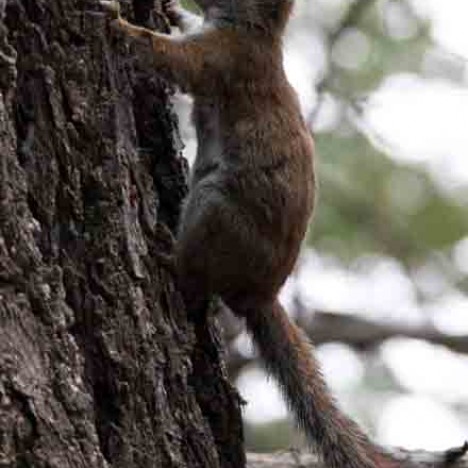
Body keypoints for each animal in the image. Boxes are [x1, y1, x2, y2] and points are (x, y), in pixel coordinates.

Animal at [100, 0, 404, 468]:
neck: (254, 31)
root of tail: (258, 293)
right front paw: (172, 11)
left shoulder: (222, 59)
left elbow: (170, 58)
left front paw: (118, 22)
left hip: (214, 212)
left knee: (193, 280)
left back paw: (166, 254)